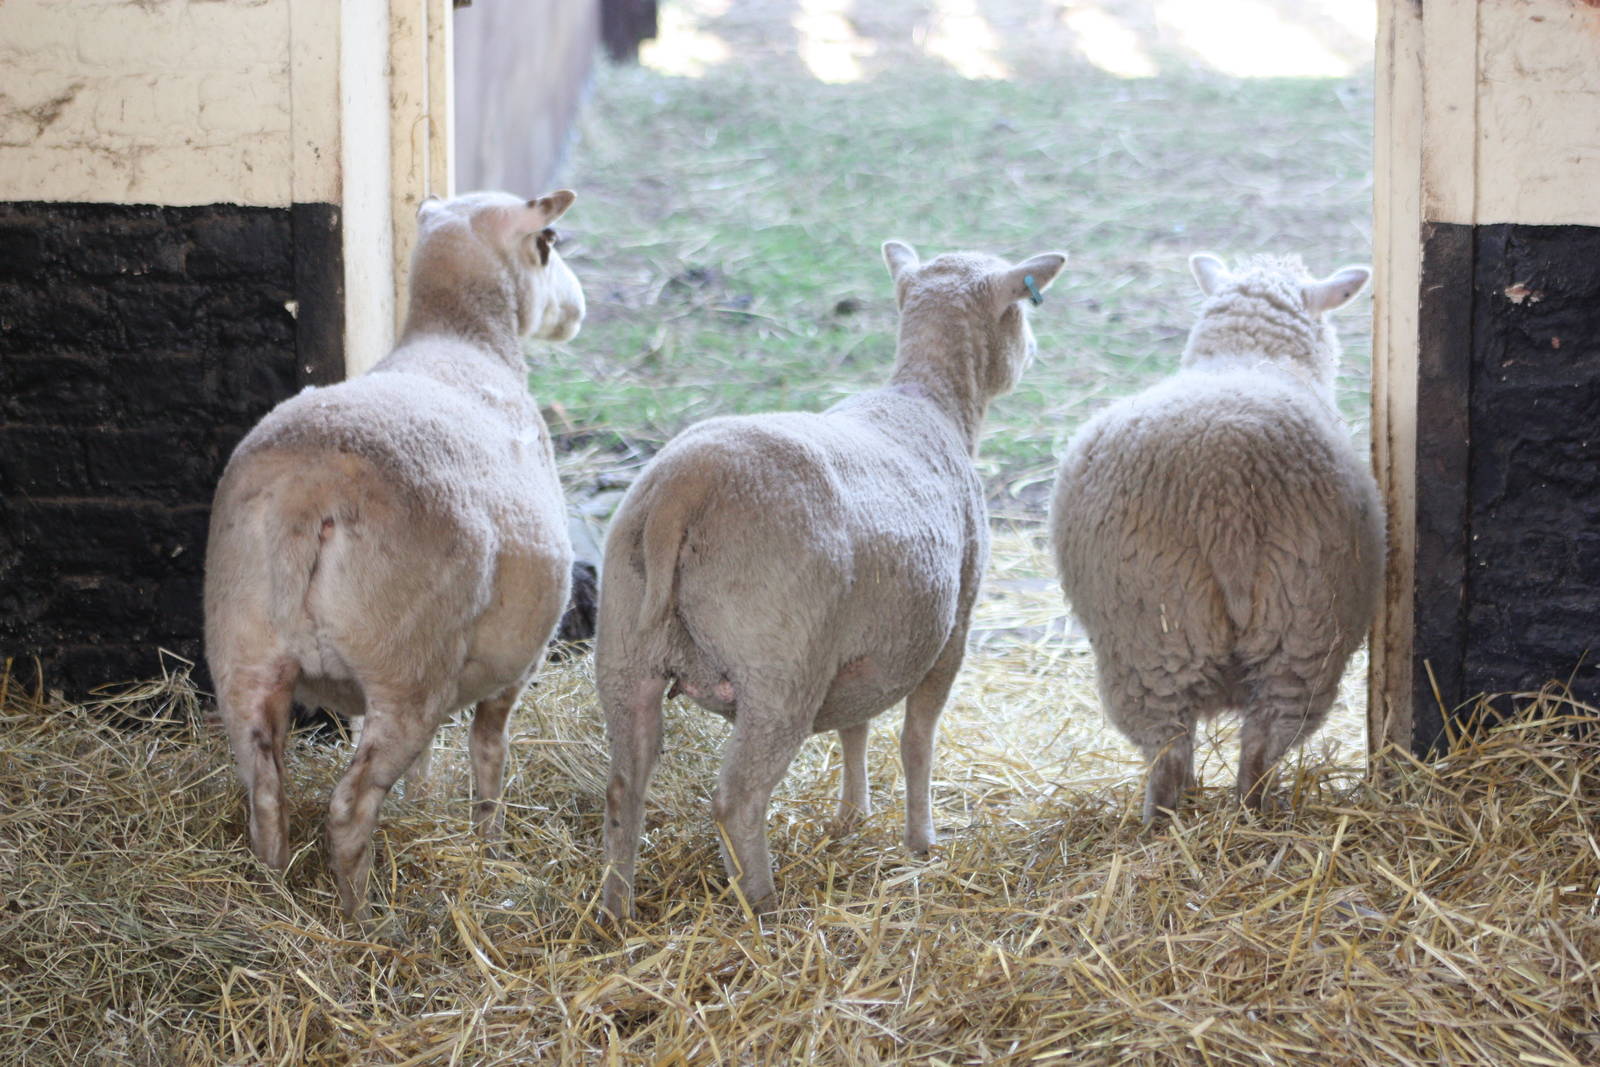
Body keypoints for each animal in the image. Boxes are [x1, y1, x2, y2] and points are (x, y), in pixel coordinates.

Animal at [204, 189, 584, 918]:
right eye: (547, 242)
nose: (577, 309)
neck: (463, 335)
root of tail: (309, 491)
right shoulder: (515, 665)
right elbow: (488, 753)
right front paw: (489, 843)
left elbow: (433, 759)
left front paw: (424, 805)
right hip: (406, 663)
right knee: (349, 808)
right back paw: (361, 917)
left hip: (243, 650)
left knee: (265, 793)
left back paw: (272, 894)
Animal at [594, 240, 1066, 920]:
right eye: (1023, 312)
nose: (1031, 354)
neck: (930, 399)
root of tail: (683, 488)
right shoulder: (953, 629)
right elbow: (917, 740)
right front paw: (921, 840)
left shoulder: (863, 652)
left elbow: (855, 726)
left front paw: (851, 816)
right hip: (780, 670)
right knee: (736, 800)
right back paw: (765, 908)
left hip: (625, 652)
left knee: (622, 787)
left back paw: (615, 911)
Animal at [1048, 253, 1383, 823]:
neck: (1247, 352)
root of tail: (1225, 497)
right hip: (1304, 624)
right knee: (1264, 741)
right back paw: (1253, 815)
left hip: (1150, 634)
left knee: (1170, 751)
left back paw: (1161, 823)